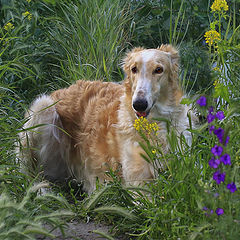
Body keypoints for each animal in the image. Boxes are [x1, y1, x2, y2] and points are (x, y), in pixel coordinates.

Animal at [17, 45, 193, 194]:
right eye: (134, 69)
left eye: (158, 70)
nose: (139, 104)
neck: (155, 124)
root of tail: (62, 90)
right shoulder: (137, 183)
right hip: (42, 109)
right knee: (31, 177)